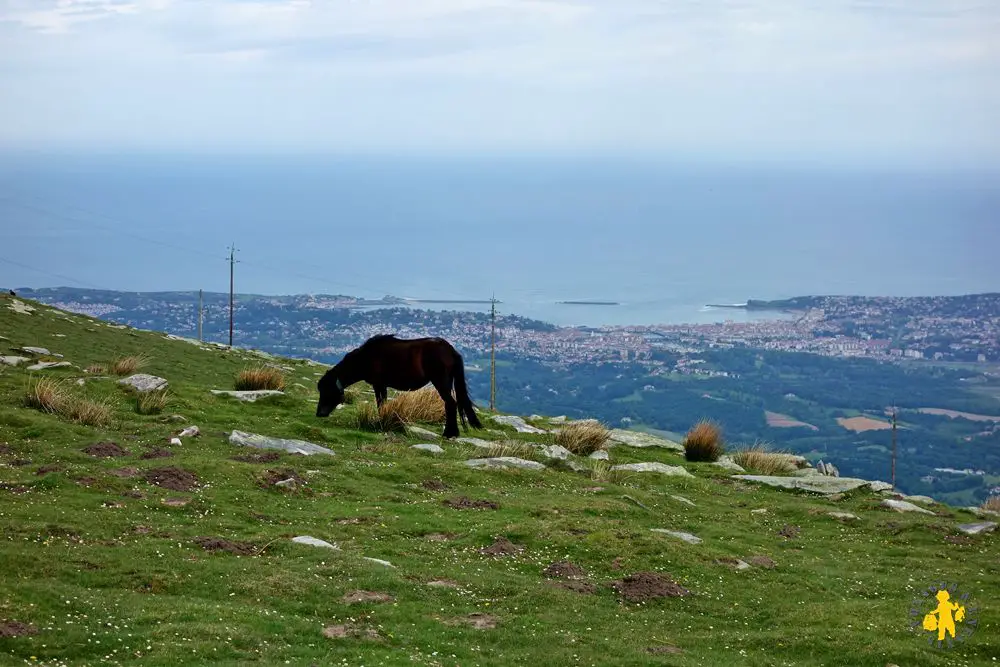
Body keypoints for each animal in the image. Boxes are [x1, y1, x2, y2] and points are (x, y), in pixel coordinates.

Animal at [314, 334, 482, 438]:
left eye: (327, 390)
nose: (319, 413)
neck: (365, 358)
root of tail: (450, 350)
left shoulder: (379, 384)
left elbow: (381, 404)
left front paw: (381, 423)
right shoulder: (380, 385)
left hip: (440, 381)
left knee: (450, 403)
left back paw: (449, 433)